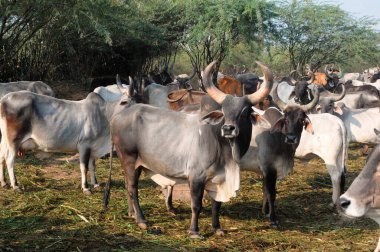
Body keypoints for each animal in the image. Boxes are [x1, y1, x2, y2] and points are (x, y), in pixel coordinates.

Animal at [0, 79, 135, 194]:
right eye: (124, 102)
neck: (104, 114)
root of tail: (4, 99)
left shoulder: (93, 146)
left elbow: (92, 166)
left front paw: (95, 184)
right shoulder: (84, 145)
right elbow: (84, 167)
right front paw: (86, 188)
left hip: (5, 140)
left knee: (2, 157)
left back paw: (4, 182)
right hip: (14, 140)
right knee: (10, 160)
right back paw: (15, 185)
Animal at [106, 60, 274, 237]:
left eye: (245, 112)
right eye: (223, 110)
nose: (228, 129)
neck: (222, 146)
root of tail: (117, 118)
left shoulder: (218, 178)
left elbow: (217, 205)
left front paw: (217, 228)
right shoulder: (196, 177)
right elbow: (196, 205)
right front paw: (194, 231)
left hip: (133, 164)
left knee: (128, 185)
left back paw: (131, 213)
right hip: (129, 159)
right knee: (133, 188)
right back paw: (141, 220)